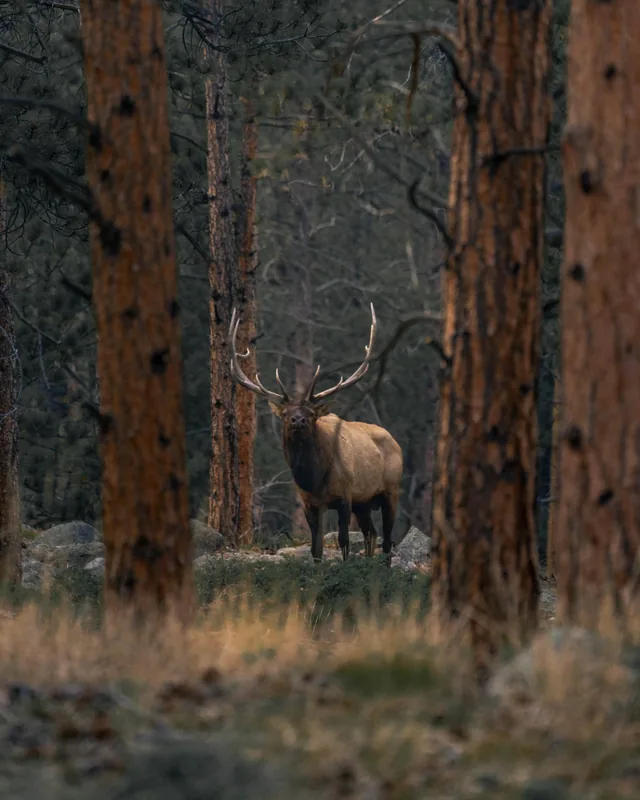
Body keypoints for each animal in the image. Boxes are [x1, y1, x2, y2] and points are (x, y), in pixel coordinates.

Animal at [229, 303, 403, 563]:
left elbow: (343, 542)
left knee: (387, 540)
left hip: (391, 491)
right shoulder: (309, 502)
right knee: (371, 534)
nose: (298, 419)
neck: (314, 478)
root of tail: (395, 441)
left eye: (310, 413)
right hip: (363, 502)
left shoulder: (345, 496)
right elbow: (316, 548)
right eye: (285, 413)